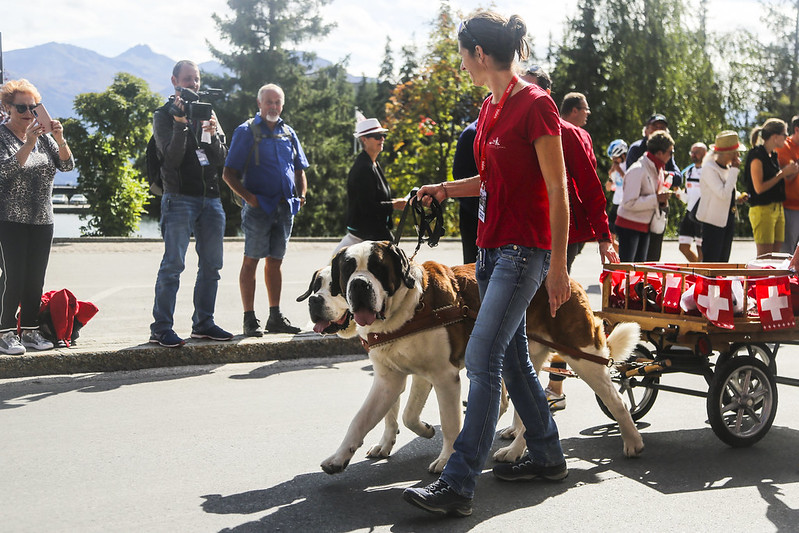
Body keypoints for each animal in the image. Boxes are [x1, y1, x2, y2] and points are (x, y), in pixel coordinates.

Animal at [300, 241, 644, 474]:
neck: (407, 309)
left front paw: (445, 458)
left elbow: (450, 421)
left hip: (583, 356)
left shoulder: (443, 377)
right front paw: (339, 458)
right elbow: (369, 418)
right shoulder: (392, 378)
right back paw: (515, 445)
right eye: (346, 271)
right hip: (520, 356)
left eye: (377, 268)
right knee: (526, 403)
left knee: (615, 398)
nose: (358, 285)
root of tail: (566, 278)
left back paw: (631, 441)